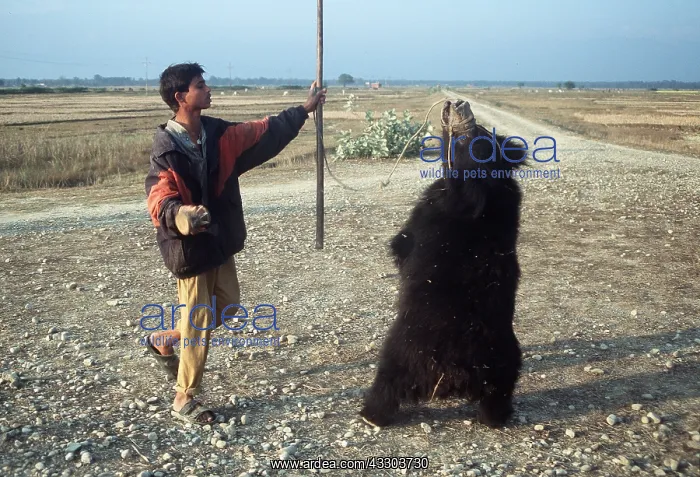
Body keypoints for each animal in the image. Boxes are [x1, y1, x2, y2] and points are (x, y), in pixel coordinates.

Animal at [360, 99, 525, 428]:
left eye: (473, 133)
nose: (458, 102)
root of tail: (455, 372)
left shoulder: (443, 209)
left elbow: (408, 239)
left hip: (402, 349)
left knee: (386, 382)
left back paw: (370, 414)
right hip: (504, 361)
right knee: (499, 392)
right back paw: (496, 417)